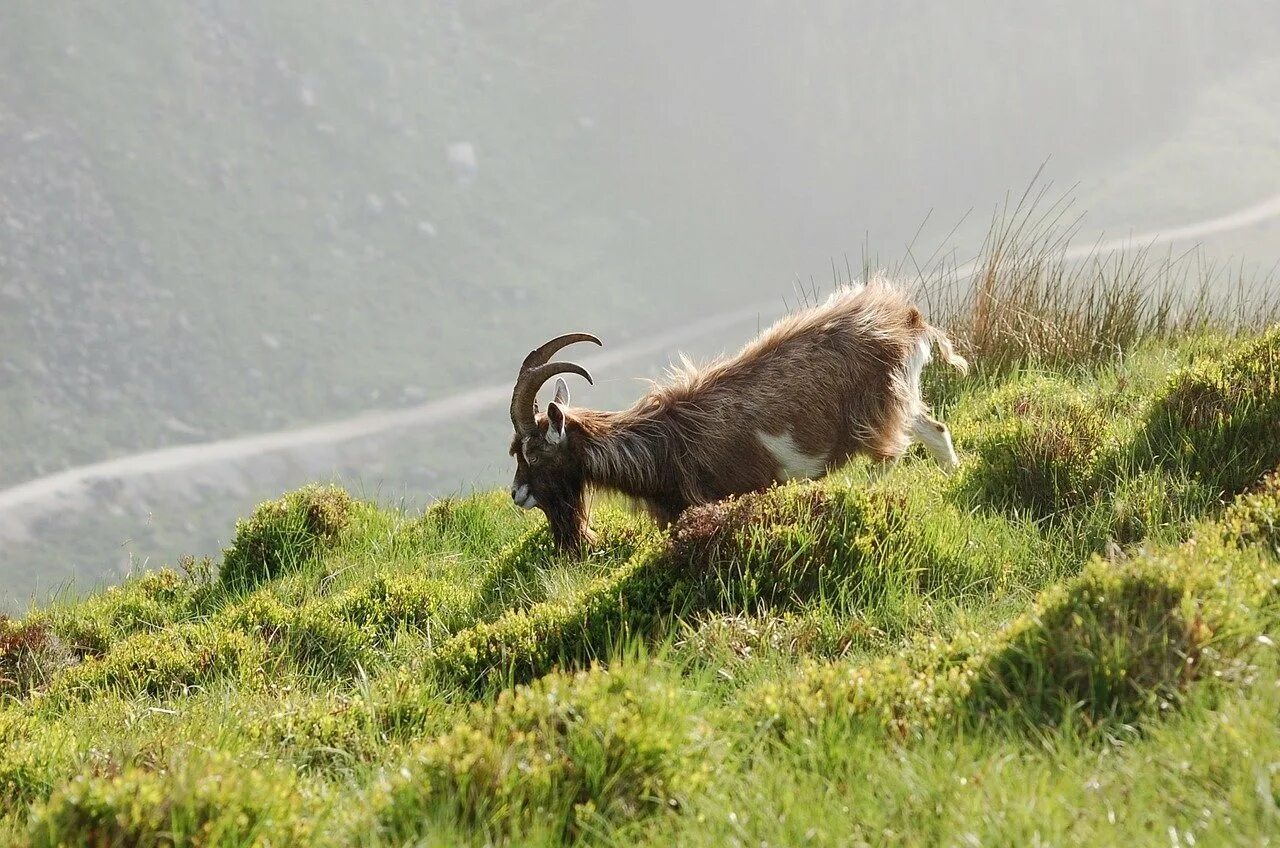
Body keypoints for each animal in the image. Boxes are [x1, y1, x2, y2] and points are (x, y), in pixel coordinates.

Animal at [504, 279, 962, 550]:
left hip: (875, 411)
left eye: (533, 453)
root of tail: (907, 320)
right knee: (935, 429)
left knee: (889, 455)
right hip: (899, 398)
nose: (516, 495)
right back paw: (952, 478)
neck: (663, 443)